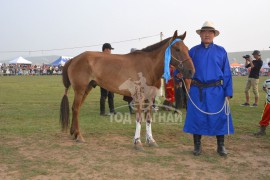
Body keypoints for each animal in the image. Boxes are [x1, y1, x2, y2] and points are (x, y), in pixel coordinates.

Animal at [59, 30, 194, 150]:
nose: (191, 71)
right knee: (76, 108)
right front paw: (138, 142)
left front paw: (151, 141)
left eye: (187, 49)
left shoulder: (150, 98)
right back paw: (79, 136)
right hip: (80, 90)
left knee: (75, 109)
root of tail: (73, 59)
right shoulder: (139, 97)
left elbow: (148, 119)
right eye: (177, 49)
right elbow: (139, 118)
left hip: (87, 89)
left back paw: (74, 133)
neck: (149, 67)